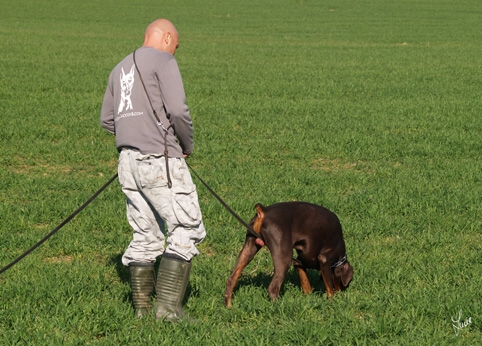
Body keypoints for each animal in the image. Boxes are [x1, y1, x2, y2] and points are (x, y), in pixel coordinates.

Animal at [224, 201, 352, 306]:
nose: (342, 293)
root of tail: (263, 211)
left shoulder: (299, 260)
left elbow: (305, 283)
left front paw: (308, 296)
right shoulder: (324, 259)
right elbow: (329, 288)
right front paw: (332, 302)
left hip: (249, 248)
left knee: (231, 279)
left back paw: (228, 306)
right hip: (284, 257)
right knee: (272, 289)